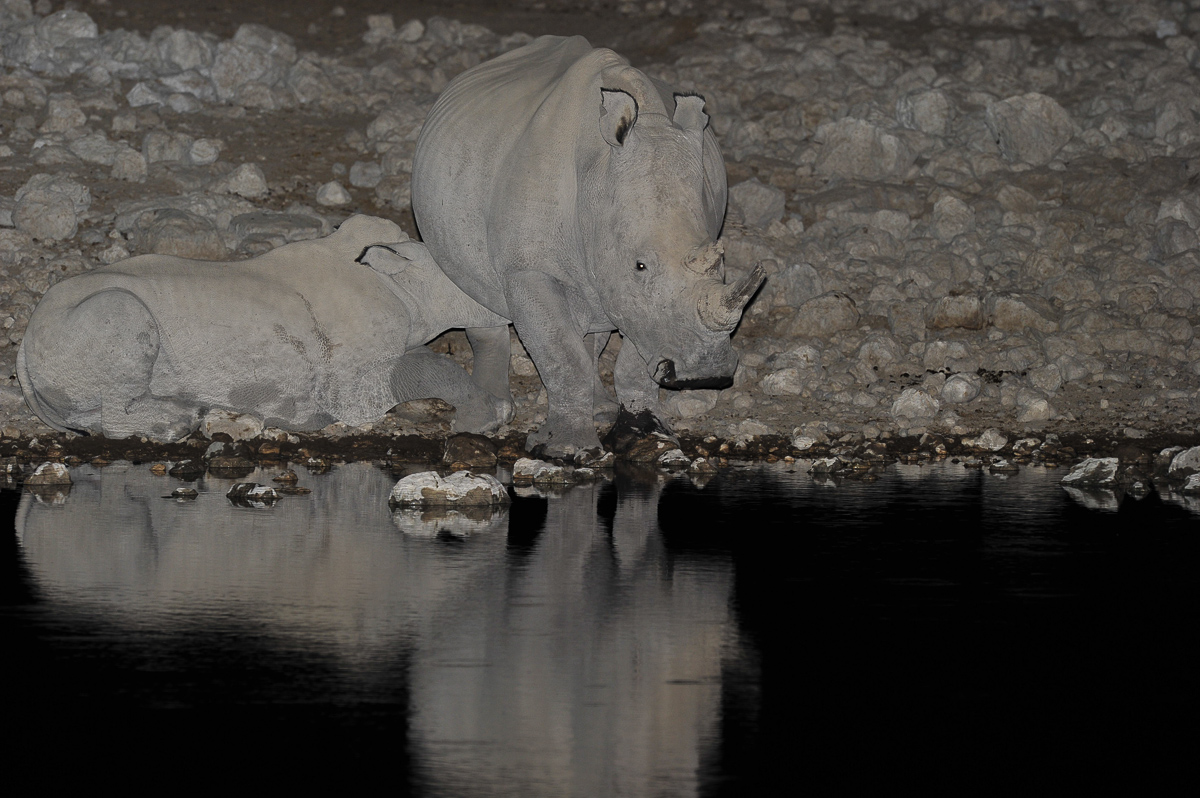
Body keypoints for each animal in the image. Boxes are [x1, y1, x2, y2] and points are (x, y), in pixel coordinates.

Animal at [17, 215, 511, 441]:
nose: (509, 313)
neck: (404, 282)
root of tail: (21, 347)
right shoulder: (351, 384)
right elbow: (423, 368)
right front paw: (485, 418)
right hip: (85, 322)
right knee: (121, 317)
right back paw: (178, 422)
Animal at [413, 35, 763, 458]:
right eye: (640, 266)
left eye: (720, 263)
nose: (705, 372)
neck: (598, 175)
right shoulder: (529, 270)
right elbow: (561, 354)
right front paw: (565, 451)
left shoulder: (644, 302)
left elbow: (634, 352)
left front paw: (649, 438)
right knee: (477, 298)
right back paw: (484, 420)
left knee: (594, 326)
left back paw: (600, 411)